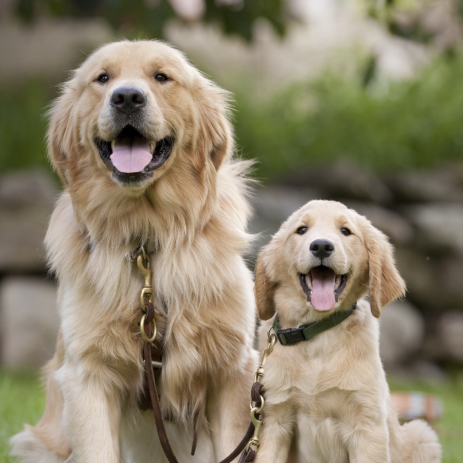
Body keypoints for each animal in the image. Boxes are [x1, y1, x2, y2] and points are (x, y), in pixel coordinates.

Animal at [10, 40, 258, 463]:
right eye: (102, 78)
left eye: (162, 77)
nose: (127, 97)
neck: (147, 236)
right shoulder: (88, 374)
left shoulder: (233, 368)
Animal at [254, 200, 442, 463]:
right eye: (302, 230)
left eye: (345, 231)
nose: (321, 246)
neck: (318, 334)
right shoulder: (274, 420)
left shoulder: (367, 426)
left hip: (422, 434)